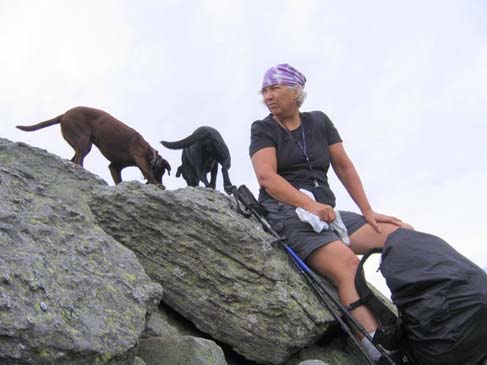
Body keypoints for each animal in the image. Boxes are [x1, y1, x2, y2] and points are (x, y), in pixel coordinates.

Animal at [16, 104, 172, 185]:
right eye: (162, 172)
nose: (163, 185)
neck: (150, 153)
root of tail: (64, 114)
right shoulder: (139, 157)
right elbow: (148, 173)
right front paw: (156, 184)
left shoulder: (114, 167)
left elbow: (118, 179)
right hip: (85, 142)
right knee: (78, 161)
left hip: (80, 144)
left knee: (73, 160)